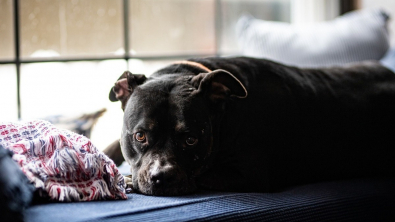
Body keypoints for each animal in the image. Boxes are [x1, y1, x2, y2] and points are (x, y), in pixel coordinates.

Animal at [107, 57, 395, 196]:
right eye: (140, 136)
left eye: (191, 140)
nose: (162, 177)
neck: (223, 114)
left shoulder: (249, 175)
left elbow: (202, 175)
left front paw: (128, 179)